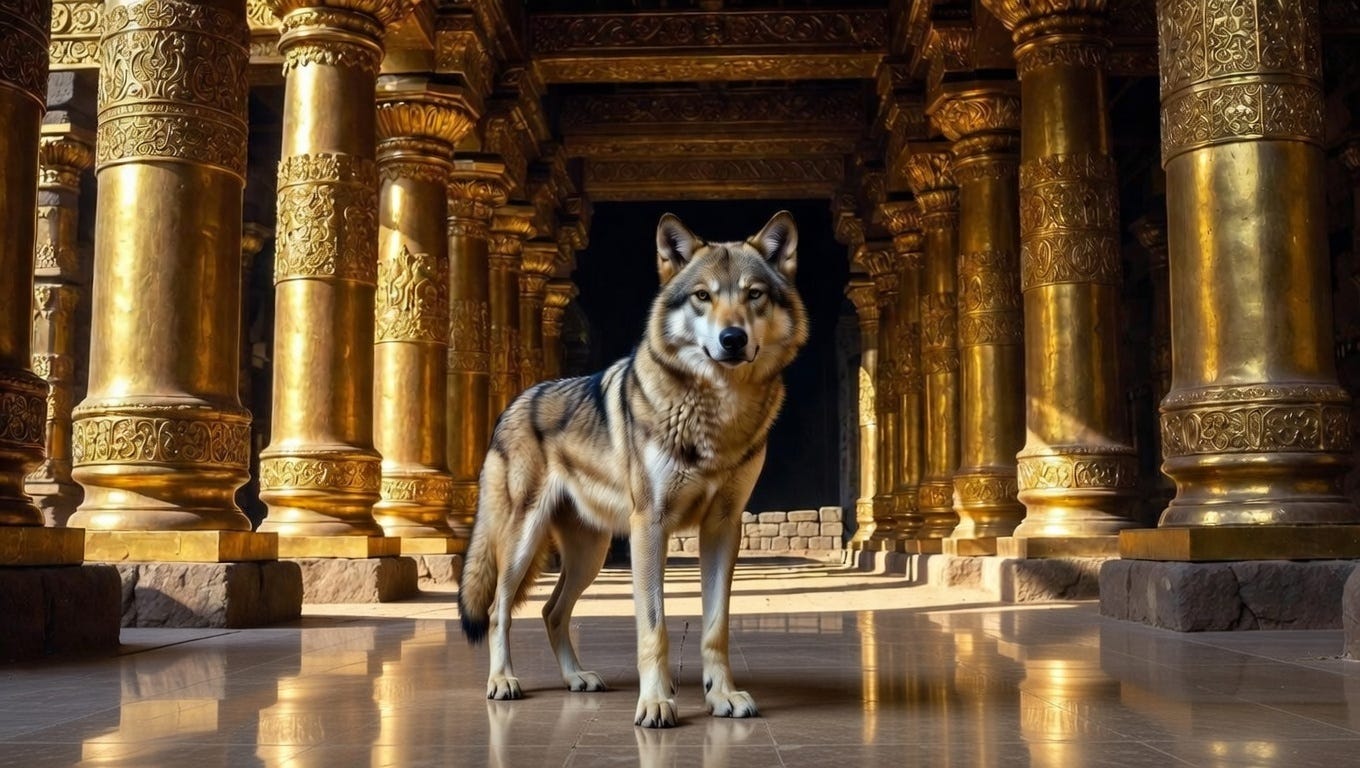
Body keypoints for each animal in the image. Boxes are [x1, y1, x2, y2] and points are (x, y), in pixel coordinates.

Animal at [458, 210, 808, 728]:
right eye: (702, 296)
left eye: (754, 294)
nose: (732, 339)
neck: (717, 411)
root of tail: (513, 403)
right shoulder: (651, 527)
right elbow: (654, 628)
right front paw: (657, 702)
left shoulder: (723, 527)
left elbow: (715, 626)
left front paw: (722, 696)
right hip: (524, 542)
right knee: (501, 609)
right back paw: (502, 682)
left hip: (591, 554)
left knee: (551, 611)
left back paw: (578, 679)